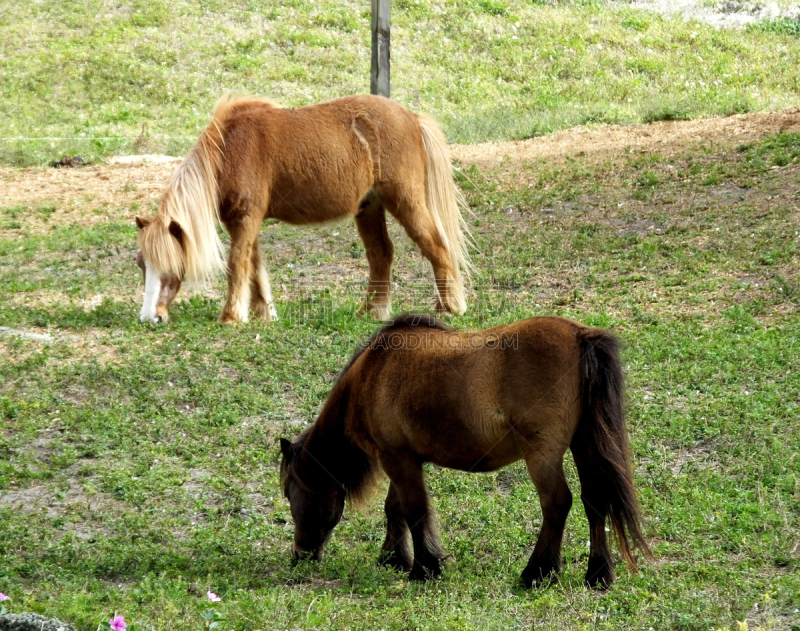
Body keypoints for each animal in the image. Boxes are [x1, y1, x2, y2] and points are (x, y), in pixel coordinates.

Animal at [135, 94, 472, 326]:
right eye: (142, 265)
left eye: (170, 264)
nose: (151, 318)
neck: (229, 149)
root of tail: (412, 118)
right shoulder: (244, 223)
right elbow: (253, 265)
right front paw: (264, 313)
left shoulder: (245, 220)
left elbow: (237, 264)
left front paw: (231, 316)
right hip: (369, 207)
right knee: (381, 255)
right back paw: (372, 310)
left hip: (405, 201)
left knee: (437, 247)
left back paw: (449, 307)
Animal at [282, 314, 648, 588]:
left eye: (290, 493)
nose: (299, 554)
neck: (373, 372)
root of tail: (579, 334)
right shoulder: (403, 458)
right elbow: (395, 508)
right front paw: (394, 559)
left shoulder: (396, 458)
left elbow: (414, 510)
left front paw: (424, 568)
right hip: (584, 445)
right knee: (594, 501)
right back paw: (597, 575)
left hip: (542, 455)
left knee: (557, 503)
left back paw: (536, 572)